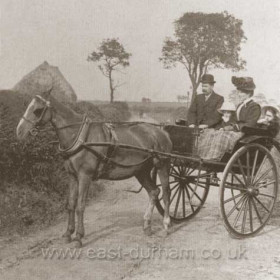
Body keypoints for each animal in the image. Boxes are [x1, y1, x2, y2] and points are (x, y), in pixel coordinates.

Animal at [16, 89, 173, 247]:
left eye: (37, 110)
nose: (19, 131)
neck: (80, 137)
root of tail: (161, 132)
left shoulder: (85, 176)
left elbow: (80, 206)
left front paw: (78, 237)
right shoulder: (72, 176)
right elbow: (71, 204)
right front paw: (68, 233)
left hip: (162, 166)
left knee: (166, 193)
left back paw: (166, 225)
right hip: (141, 171)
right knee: (154, 192)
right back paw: (147, 226)